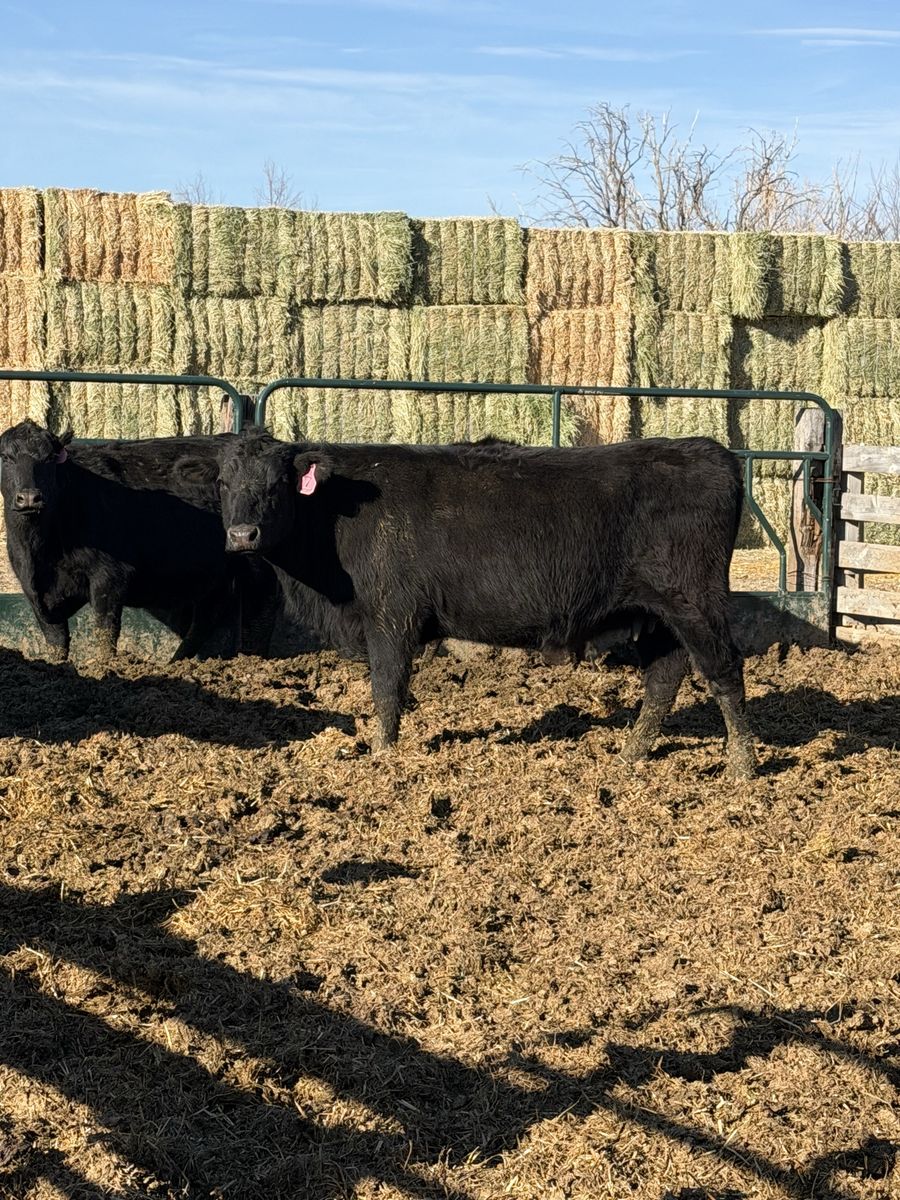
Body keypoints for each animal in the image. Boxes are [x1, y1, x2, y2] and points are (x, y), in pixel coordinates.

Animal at [0, 420, 276, 662]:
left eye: (48, 459)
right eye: (5, 457)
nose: (29, 498)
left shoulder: (109, 577)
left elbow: (105, 633)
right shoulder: (35, 591)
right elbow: (56, 641)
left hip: (252, 561)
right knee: (206, 618)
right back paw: (176, 663)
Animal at [181, 431, 756, 778]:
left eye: (277, 484)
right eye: (224, 482)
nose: (242, 535)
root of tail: (711, 451)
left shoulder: (390, 616)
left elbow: (387, 687)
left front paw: (383, 753)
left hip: (696, 601)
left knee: (725, 671)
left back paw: (742, 766)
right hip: (658, 614)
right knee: (665, 677)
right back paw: (631, 755)